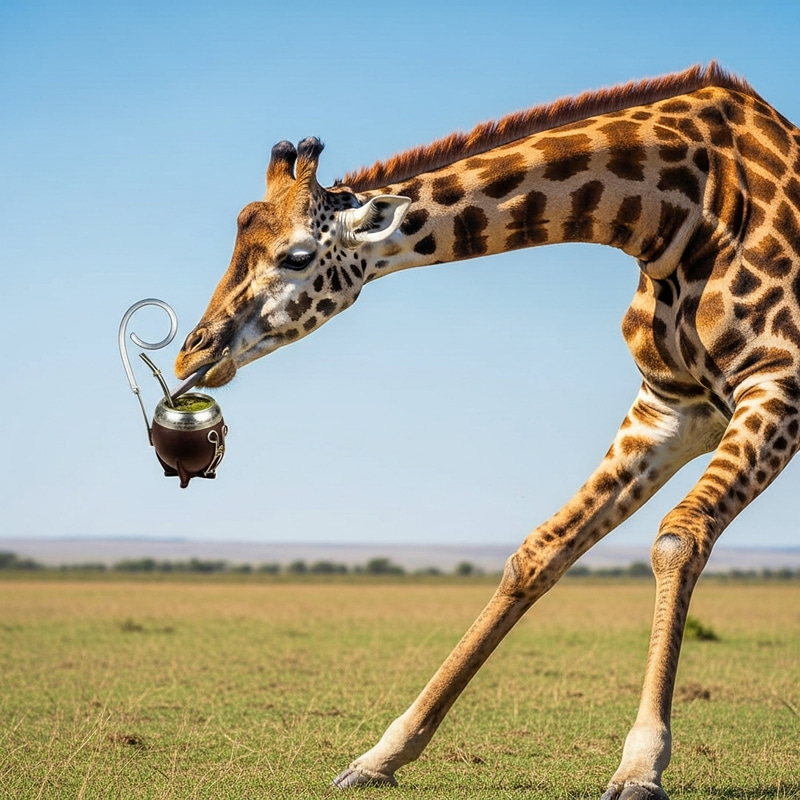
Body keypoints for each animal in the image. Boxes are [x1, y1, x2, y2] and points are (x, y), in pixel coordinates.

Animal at [174, 63, 800, 799]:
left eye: (297, 256)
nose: (191, 355)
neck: (675, 214)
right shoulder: (671, 407)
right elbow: (539, 552)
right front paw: (381, 753)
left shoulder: (778, 384)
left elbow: (679, 537)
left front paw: (640, 766)